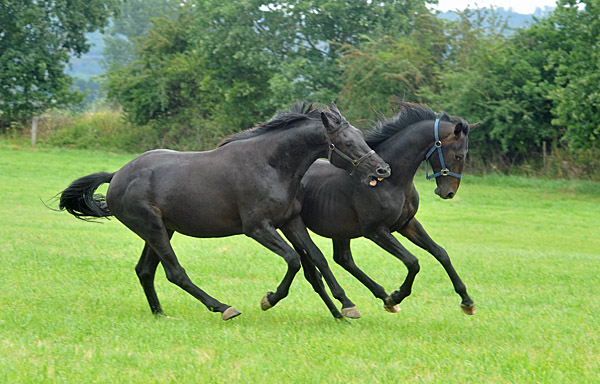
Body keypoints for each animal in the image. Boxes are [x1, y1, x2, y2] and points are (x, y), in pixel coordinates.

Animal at [58, 103, 392, 320]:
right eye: (347, 141)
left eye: (360, 135)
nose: (382, 169)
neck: (270, 164)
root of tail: (117, 176)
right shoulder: (258, 228)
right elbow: (294, 260)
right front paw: (269, 299)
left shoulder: (291, 221)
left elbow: (317, 259)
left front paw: (347, 305)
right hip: (153, 229)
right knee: (175, 272)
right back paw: (223, 308)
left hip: (162, 230)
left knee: (145, 271)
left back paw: (160, 315)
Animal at [300, 101, 478, 316]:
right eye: (459, 156)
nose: (448, 193)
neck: (391, 181)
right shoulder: (376, 231)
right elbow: (412, 262)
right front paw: (396, 296)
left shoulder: (407, 224)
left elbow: (441, 253)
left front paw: (467, 302)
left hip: (340, 230)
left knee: (343, 259)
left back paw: (376, 297)